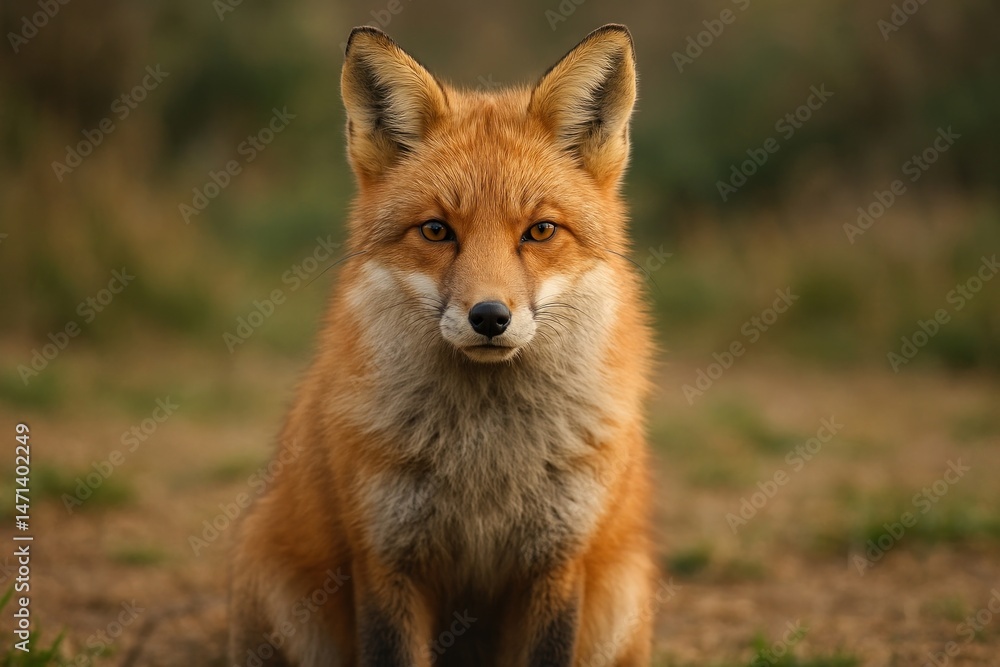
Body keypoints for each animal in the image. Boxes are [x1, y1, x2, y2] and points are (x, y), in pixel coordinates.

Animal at [229, 23, 656, 667]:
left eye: (541, 231)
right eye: (436, 230)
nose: (489, 317)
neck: (484, 456)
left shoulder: (557, 561)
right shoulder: (385, 557)